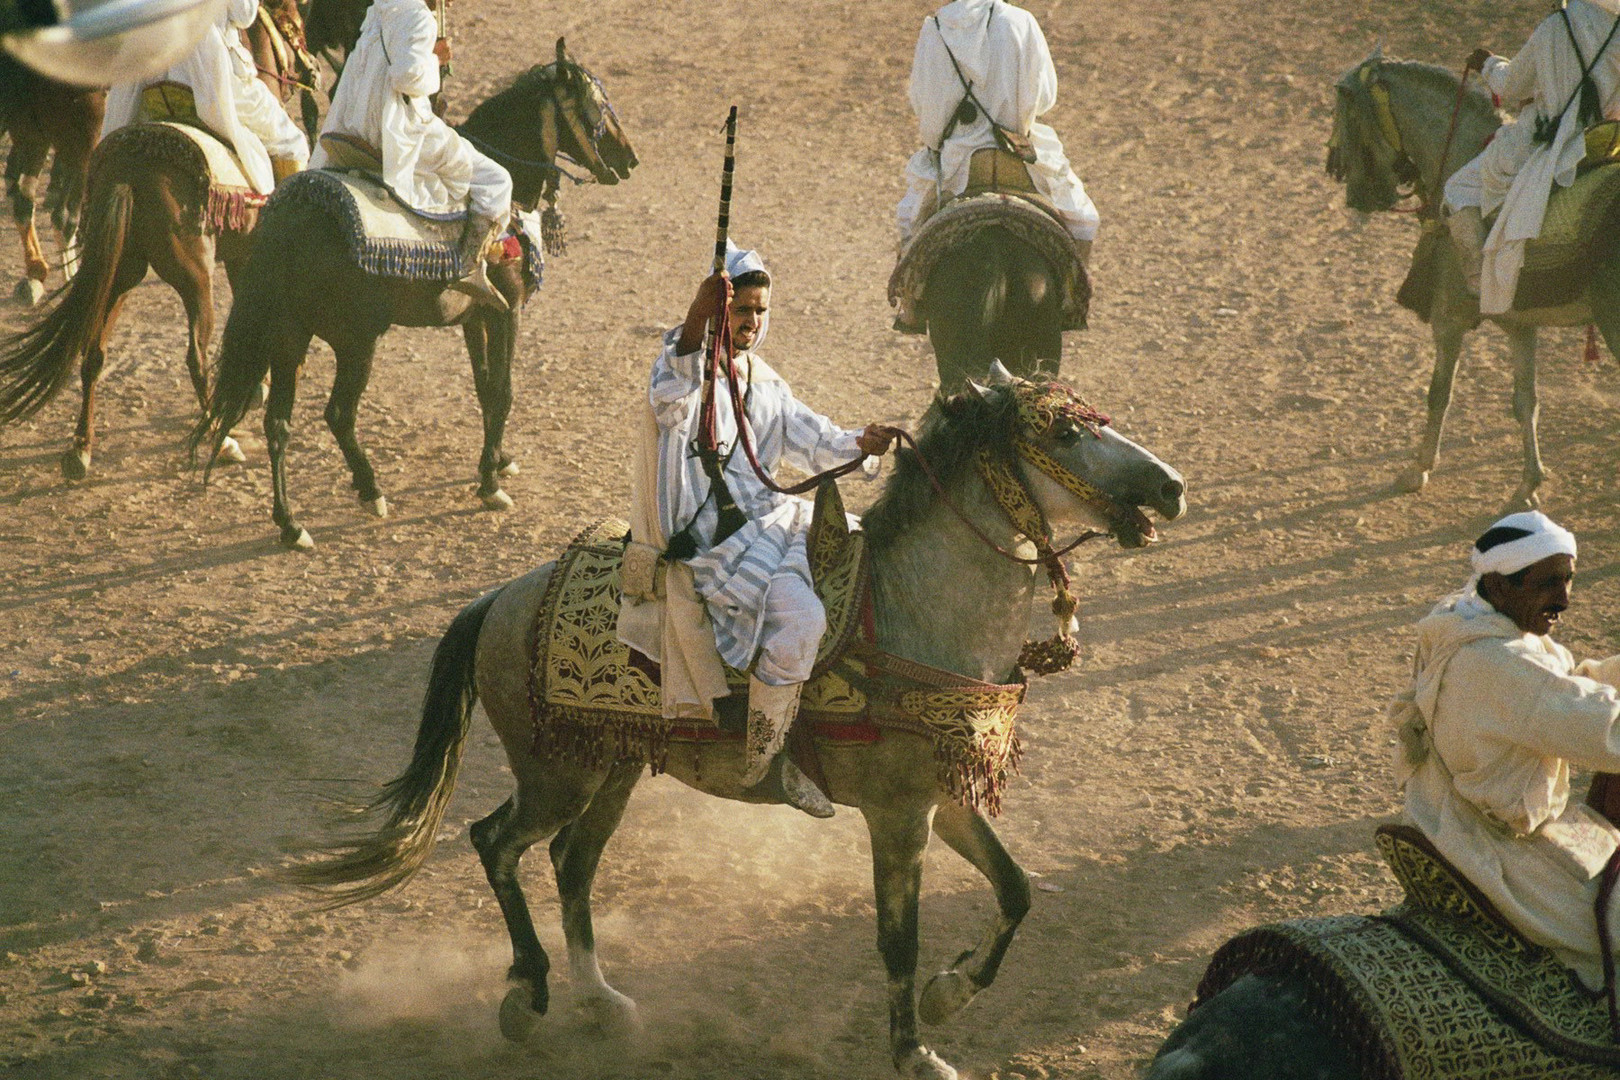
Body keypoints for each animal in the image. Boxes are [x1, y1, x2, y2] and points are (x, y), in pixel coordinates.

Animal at [191, 42, 638, 550]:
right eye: (596, 107)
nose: (629, 159)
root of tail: (290, 217)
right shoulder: (508, 311)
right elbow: (503, 391)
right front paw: (489, 482)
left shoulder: (475, 318)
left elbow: (485, 388)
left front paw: (498, 460)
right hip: (355, 341)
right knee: (338, 414)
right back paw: (370, 491)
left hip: (290, 338)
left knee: (278, 423)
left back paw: (291, 523)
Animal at [281, 367, 1192, 1075]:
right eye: (1065, 433)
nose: (1172, 487)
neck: (911, 613)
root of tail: (501, 598)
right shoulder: (898, 817)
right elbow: (897, 940)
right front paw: (913, 1050)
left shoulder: (945, 802)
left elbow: (1016, 891)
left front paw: (948, 996)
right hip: (557, 773)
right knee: (497, 843)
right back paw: (529, 995)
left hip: (612, 769)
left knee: (573, 866)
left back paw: (602, 1001)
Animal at [1321, 49, 1620, 508]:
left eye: (1344, 111)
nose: (1333, 167)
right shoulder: (1520, 326)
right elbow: (1525, 401)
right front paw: (1528, 484)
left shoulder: (1449, 321)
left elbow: (1438, 393)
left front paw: (1418, 468)